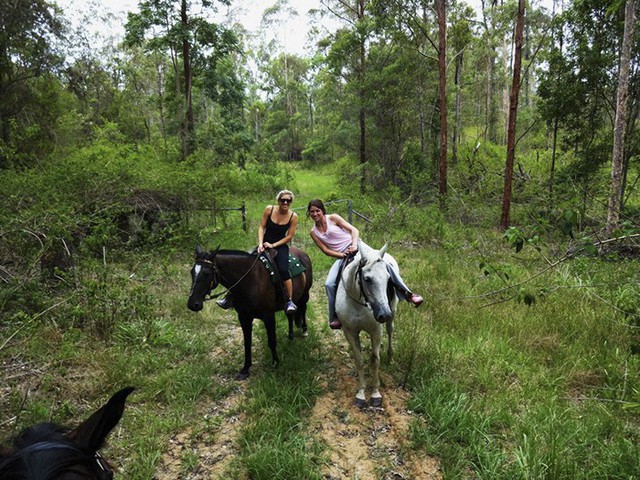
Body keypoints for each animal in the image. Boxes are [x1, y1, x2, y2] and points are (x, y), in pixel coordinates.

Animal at [188, 246, 312, 380]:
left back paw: (304, 331)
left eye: (207, 274)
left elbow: (272, 341)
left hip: (305, 295)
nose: (192, 304)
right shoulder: (243, 317)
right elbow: (247, 343)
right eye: (191, 272)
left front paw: (275, 363)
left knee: (303, 309)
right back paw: (290, 336)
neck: (250, 281)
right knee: (290, 314)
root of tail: (302, 253)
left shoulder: (268, 317)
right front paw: (245, 369)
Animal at [338, 239, 398, 404]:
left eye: (388, 279)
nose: (384, 314)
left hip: (393, 310)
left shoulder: (376, 331)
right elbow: (359, 360)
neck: (359, 303)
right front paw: (361, 393)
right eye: (367, 279)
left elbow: (374, 360)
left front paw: (376, 393)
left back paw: (390, 357)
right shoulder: (350, 332)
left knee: (390, 330)